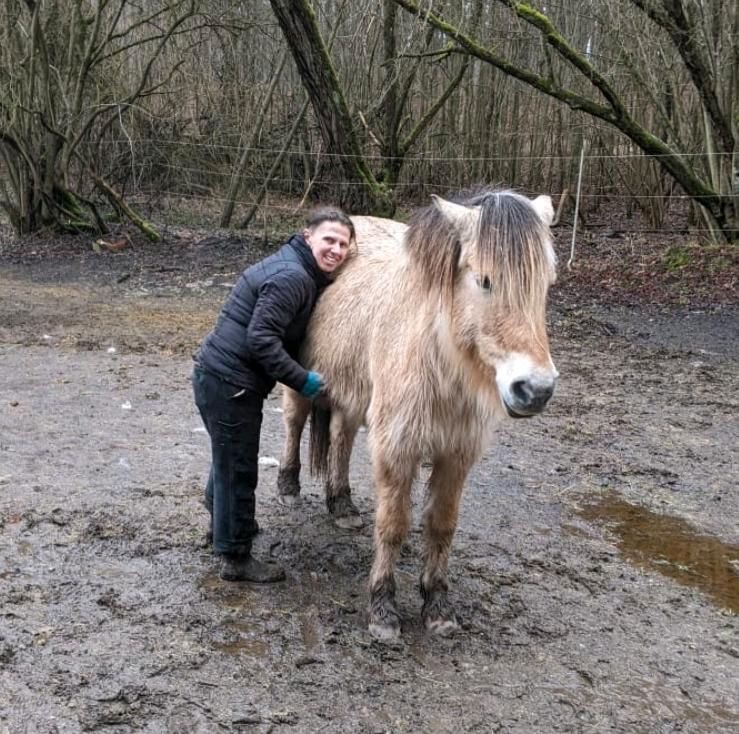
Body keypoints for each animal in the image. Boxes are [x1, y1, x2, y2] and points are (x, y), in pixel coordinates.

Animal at [276, 191, 556, 644]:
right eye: (484, 281)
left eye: (546, 283)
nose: (536, 389)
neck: (440, 359)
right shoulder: (397, 446)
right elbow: (393, 525)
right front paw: (382, 610)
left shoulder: (456, 454)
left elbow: (441, 525)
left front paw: (437, 606)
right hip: (301, 378)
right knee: (294, 422)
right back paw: (288, 486)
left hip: (353, 393)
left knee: (341, 436)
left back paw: (342, 504)